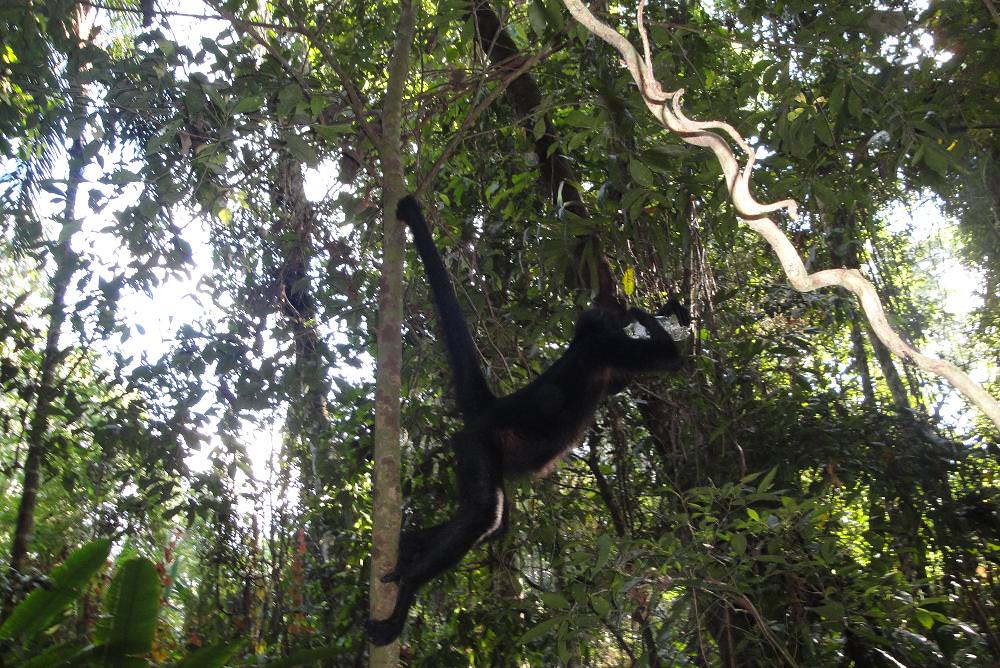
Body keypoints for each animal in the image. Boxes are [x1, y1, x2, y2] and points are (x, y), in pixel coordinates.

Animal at [366, 196, 688, 644]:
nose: (616, 313)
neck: (582, 343)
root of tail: (490, 407)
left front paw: (665, 310)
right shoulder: (603, 348)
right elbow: (668, 359)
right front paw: (649, 312)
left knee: (490, 522)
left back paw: (411, 546)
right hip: (476, 444)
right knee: (485, 513)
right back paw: (409, 587)